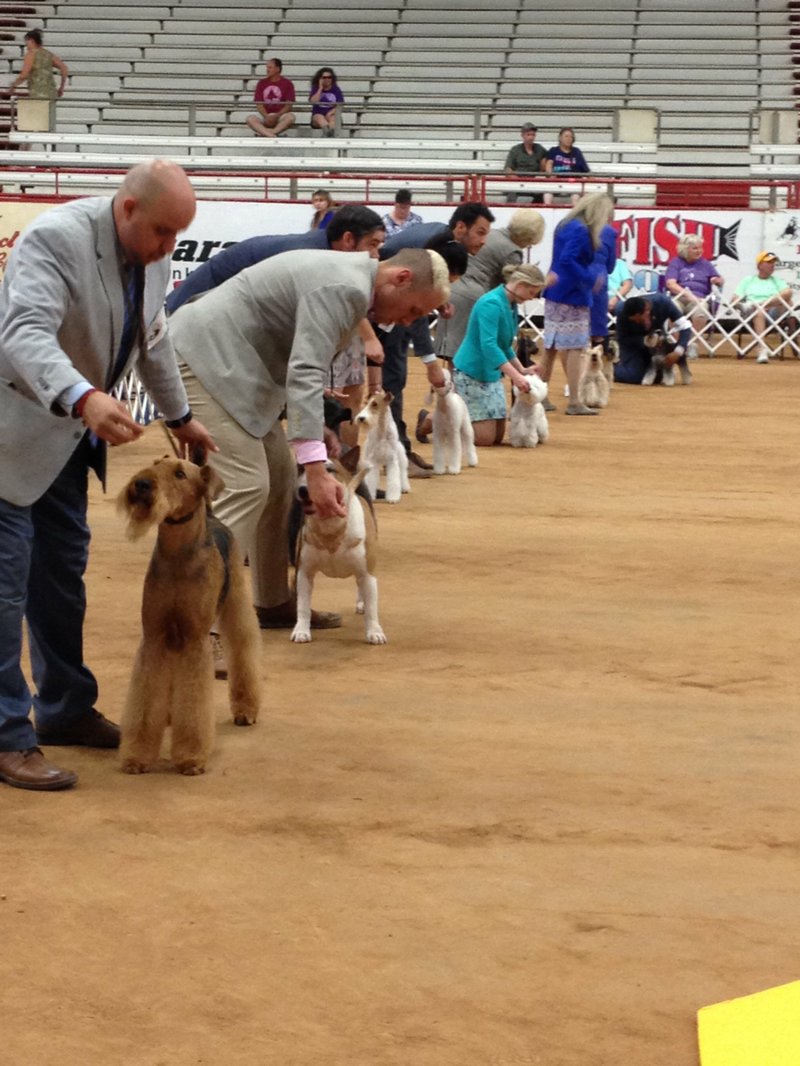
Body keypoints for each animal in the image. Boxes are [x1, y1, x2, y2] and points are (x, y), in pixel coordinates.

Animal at [292, 447, 388, 643]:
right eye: (300, 469)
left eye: (330, 470)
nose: (303, 490)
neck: (331, 528)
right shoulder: (304, 572)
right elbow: (303, 605)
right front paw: (301, 631)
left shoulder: (367, 573)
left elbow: (372, 608)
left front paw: (375, 632)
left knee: (361, 587)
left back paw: (362, 603)